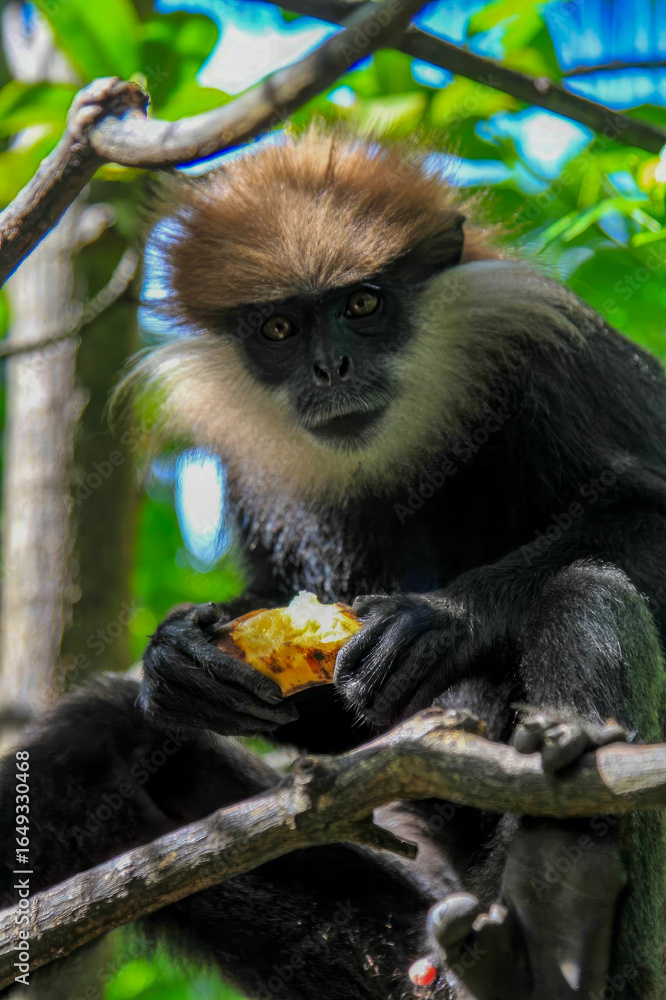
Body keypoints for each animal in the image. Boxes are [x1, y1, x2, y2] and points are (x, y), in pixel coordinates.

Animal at [1, 128, 665, 1000]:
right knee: (92, 739)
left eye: (363, 305)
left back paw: (557, 911)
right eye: (280, 329)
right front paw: (177, 658)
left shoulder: (558, 360)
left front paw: (442, 621)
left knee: (585, 594)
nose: (331, 369)